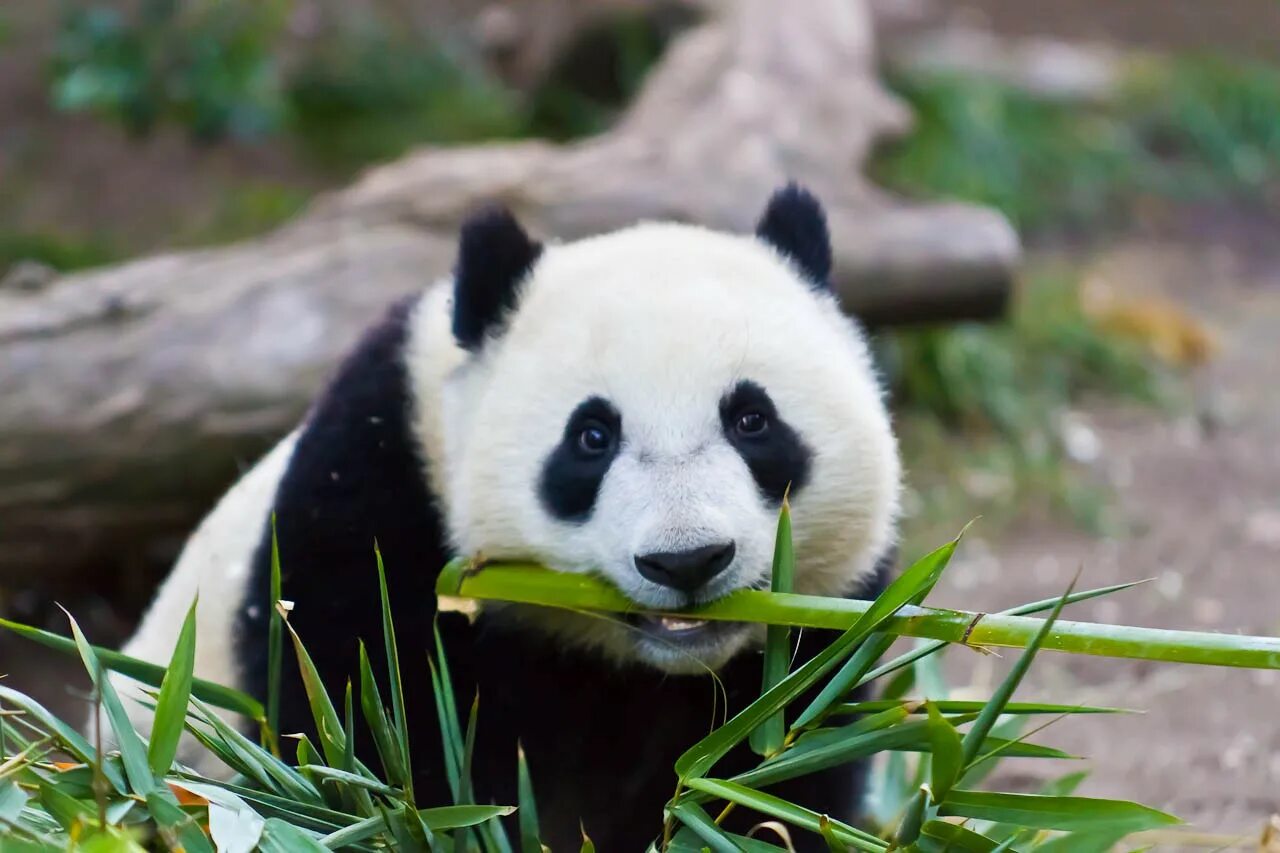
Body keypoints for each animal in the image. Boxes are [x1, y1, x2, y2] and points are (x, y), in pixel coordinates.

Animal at [107, 184, 901, 845]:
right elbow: (362, 742)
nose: (687, 559)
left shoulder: (824, 631)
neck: (638, 665)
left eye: (752, 420)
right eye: (591, 437)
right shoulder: (374, 502)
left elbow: (779, 775)